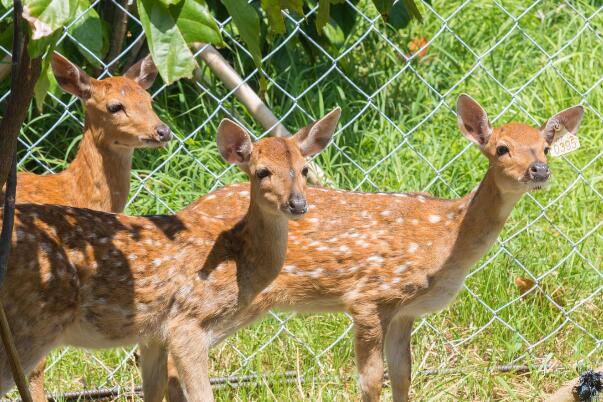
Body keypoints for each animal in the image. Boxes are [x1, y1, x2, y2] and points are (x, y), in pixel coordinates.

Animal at [0, 108, 340, 402]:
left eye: (304, 169)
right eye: (262, 172)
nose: (297, 204)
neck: (239, 260)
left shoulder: (152, 335)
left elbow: (154, 391)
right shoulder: (187, 323)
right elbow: (202, 396)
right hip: (31, 322)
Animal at [171, 95, 584, 402]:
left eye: (546, 148)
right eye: (501, 148)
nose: (539, 170)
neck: (446, 239)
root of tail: (185, 211)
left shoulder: (406, 311)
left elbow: (403, 375)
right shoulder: (369, 298)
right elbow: (371, 381)